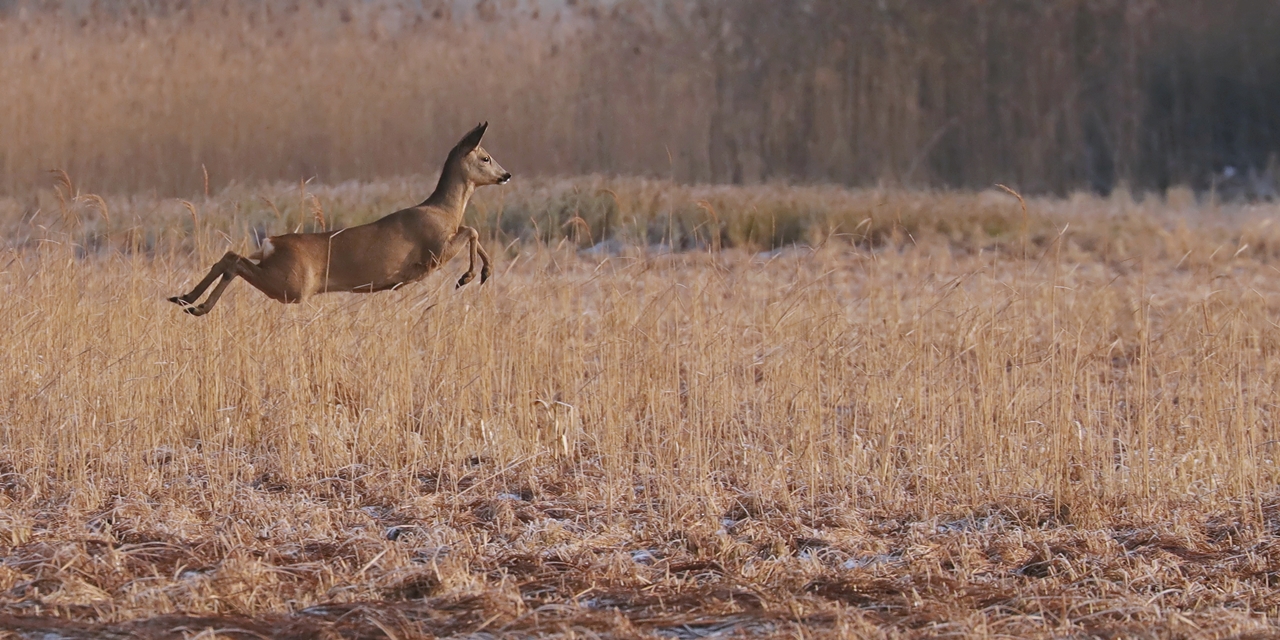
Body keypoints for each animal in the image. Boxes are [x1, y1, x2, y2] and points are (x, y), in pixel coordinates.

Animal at [168, 120, 509, 316]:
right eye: (486, 157)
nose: (506, 175)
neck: (444, 210)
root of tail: (271, 243)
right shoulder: (433, 252)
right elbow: (472, 230)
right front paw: (471, 275)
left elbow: (472, 231)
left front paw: (481, 273)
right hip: (291, 285)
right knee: (235, 262)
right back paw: (196, 305)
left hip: (278, 275)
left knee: (229, 256)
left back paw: (185, 299)